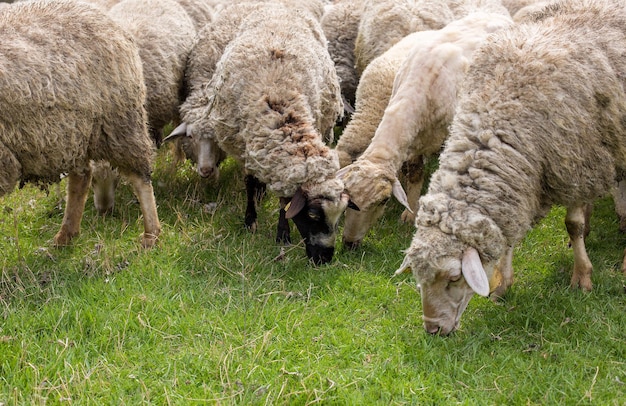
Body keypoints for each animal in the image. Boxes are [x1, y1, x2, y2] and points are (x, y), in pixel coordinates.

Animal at [0, 0, 161, 247]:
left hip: (118, 123)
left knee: (140, 177)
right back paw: (66, 234)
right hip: (73, 134)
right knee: (82, 176)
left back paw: (151, 234)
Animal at [336, 11, 512, 247]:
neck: (420, 85)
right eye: (347, 197)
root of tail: (496, 14)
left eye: (383, 201)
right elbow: (414, 172)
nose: (349, 243)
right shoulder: (413, 140)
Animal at [392, 0, 624, 336]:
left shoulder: (575, 162)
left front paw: (582, 276)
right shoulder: (526, 181)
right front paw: (503, 281)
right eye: (419, 278)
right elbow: (510, 236)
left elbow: (573, 224)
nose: (433, 330)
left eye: (453, 278)